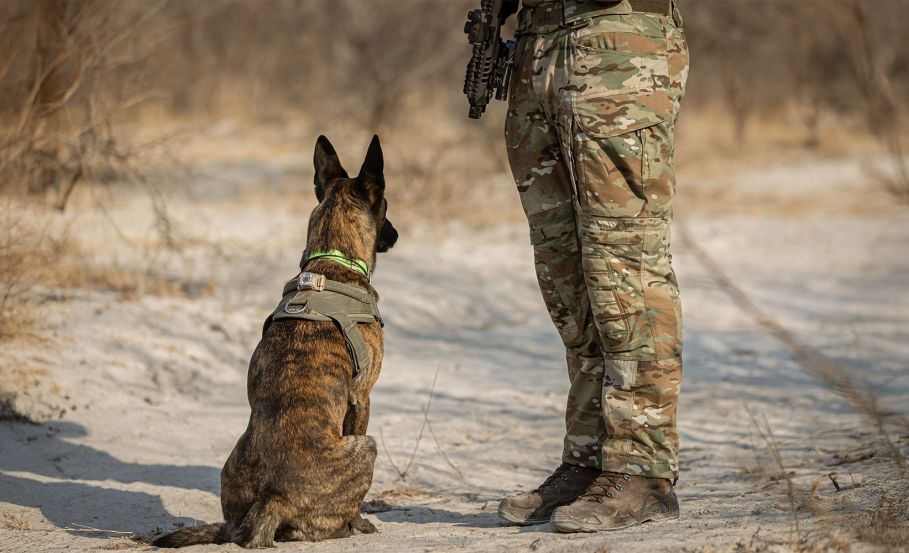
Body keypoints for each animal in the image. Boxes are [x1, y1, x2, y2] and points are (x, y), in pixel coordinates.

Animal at [153, 135, 398, 548]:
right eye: (387, 206)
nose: (395, 235)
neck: (333, 261)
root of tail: (273, 498)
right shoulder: (362, 397)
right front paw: (362, 522)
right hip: (367, 447)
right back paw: (348, 526)